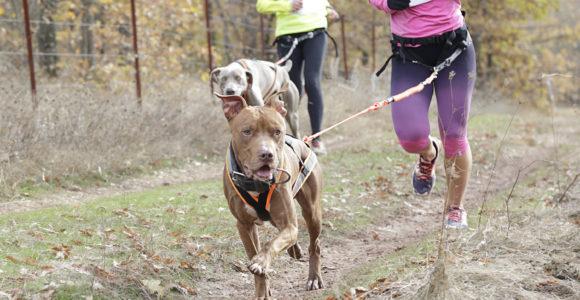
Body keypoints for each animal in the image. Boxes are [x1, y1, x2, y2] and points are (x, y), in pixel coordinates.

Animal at [216, 92, 324, 298]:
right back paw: (294, 250)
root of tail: (302, 142)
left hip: (312, 212)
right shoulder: (244, 225)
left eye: (276, 132)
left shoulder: (289, 224)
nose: (267, 154)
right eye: (247, 131)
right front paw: (262, 290)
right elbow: (254, 253)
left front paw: (261, 262)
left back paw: (314, 278)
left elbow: (271, 244)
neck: (255, 183)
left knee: (314, 245)